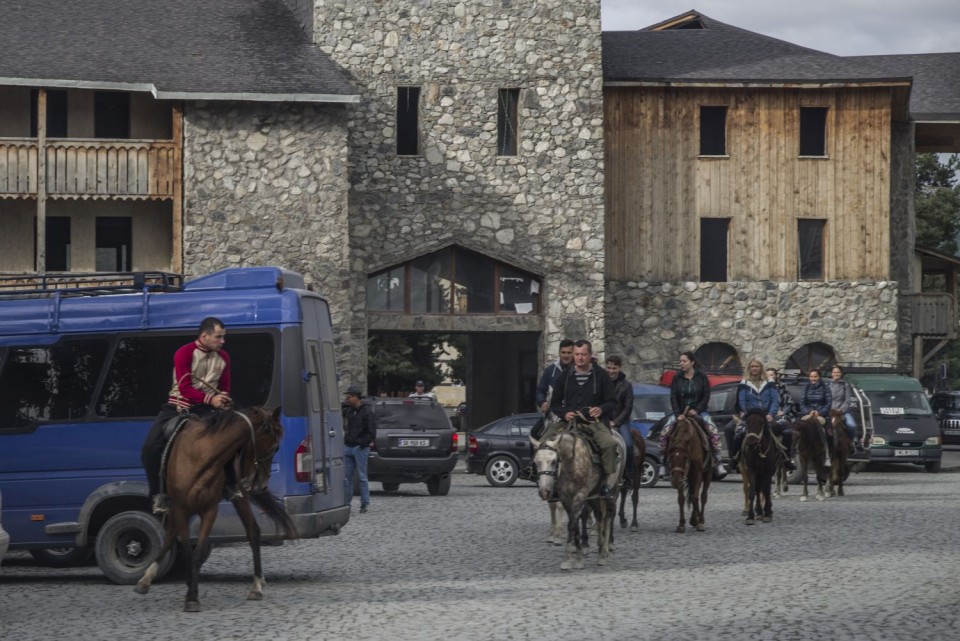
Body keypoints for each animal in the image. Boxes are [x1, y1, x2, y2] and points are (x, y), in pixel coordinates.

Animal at [133, 404, 294, 608]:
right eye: (274, 446)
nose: (261, 484)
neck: (201, 456)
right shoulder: (180, 508)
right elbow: (187, 551)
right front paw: (190, 590)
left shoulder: (209, 510)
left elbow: (198, 552)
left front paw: (192, 595)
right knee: (170, 534)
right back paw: (145, 580)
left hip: (239, 497)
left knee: (253, 531)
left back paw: (256, 586)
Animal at [528, 422, 628, 568]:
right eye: (536, 462)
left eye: (553, 461)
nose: (544, 491)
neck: (571, 463)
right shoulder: (566, 498)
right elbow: (574, 524)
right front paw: (578, 557)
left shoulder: (579, 496)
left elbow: (572, 524)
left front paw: (566, 559)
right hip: (594, 496)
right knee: (599, 517)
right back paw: (599, 547)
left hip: (613, 492)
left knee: (608, 517)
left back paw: (604, 552)